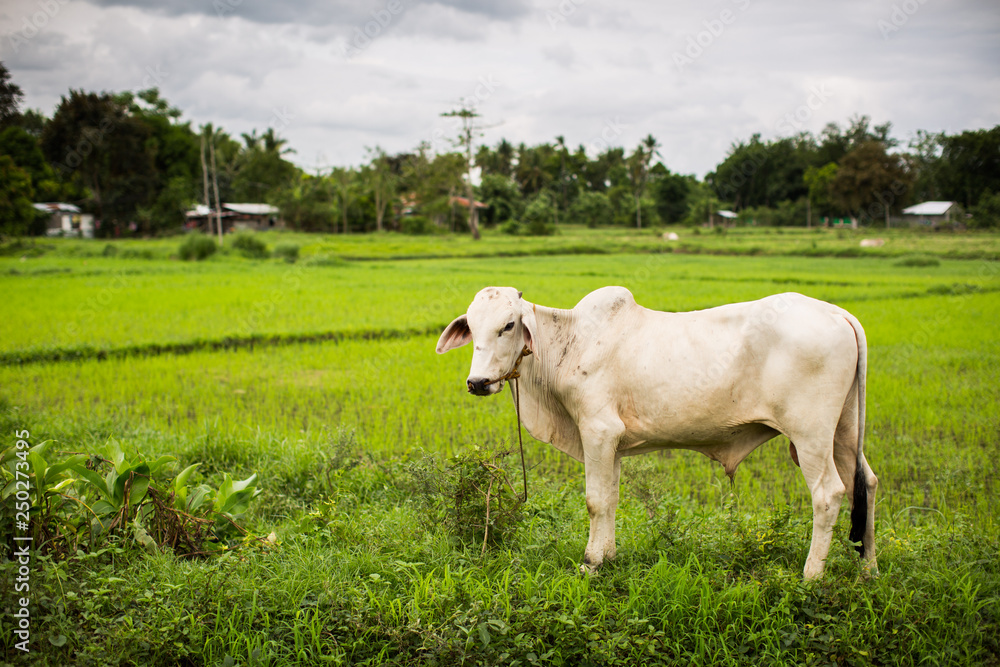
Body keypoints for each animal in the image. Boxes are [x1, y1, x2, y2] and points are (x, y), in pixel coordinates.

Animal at [436, 286, 878, 580]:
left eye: (508, 325)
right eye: (472, 327)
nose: (478, 382)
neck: (571, 342)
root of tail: (839, 314)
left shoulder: (597, 432)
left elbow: (595, 501)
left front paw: (590, 563)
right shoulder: (611, 445)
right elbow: (611, 500)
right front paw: (609, 556)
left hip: (810, 437)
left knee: (829, 494)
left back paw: (812, 576)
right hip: (844, 432)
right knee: (867, 484)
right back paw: (868, 568)